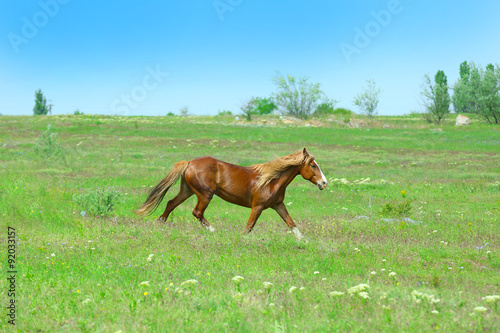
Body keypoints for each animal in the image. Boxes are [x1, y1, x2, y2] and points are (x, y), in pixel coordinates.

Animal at [135, 147, 326, 237]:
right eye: (312, 165)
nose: (324, 183)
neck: (271, 181)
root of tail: (188, 163)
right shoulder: (257, 206)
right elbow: (249, 227)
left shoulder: (278, 205)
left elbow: (291, 224)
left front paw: (305, 240)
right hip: (205, 194)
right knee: (197, 212)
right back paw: (214, 231)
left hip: (187, 191)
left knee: (170, 204)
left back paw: (159, 224)